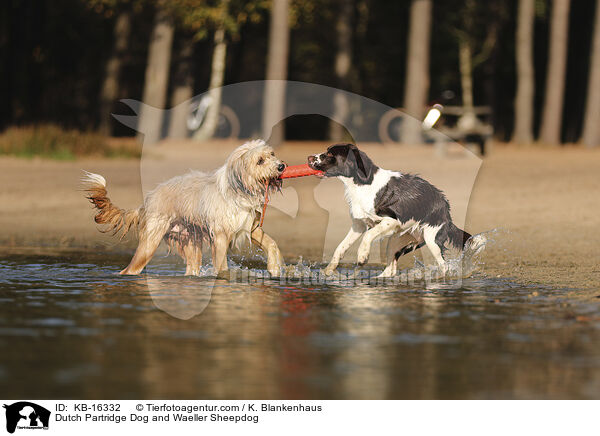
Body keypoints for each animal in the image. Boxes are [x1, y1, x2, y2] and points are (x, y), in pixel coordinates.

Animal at [83, 139, 288, 276]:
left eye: (272, 154)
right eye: (260, 161)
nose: (281, 166)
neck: (239, 190)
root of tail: (147, 202)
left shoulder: (250, 227)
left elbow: (271, 243)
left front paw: (274, 268)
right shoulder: (221, 236)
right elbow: (222, 267)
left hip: (189, 241)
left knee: (191, 269)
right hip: (150, 243)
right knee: (129, 270)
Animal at [310, 145, 474, 278]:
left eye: (329, 154)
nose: (309, 158)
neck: (362, 183)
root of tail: (447, 212)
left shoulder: (390, 220)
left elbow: (368, 235)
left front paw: (362, 256)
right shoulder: (359, 225)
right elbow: (340, 247)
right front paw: (328, 271)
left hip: (431, 238)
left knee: (444, 266)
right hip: (396, 241)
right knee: (390, 270)